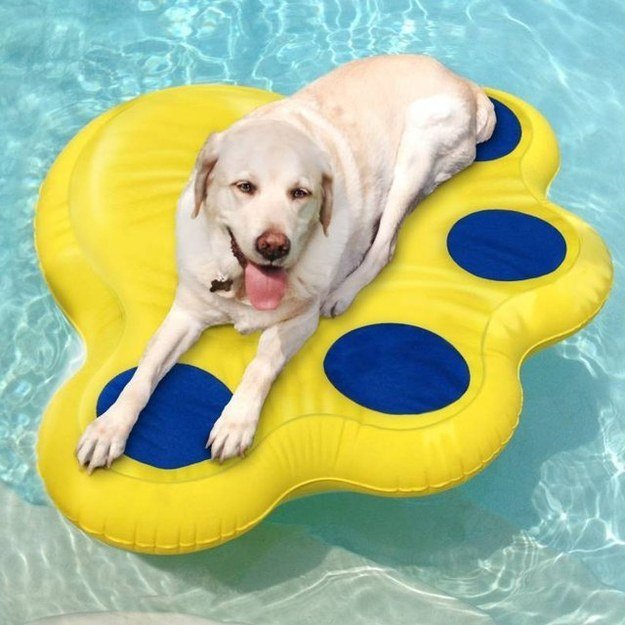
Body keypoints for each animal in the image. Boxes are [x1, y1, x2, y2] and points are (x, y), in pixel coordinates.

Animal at [77, 54, 498, 472]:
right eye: (244, 187)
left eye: (301, 193)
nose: (274, 246)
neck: (242, 289)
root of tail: (462, 81)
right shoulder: (187, 312)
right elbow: (144, 371)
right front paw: (108, 427)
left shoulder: (299, 321)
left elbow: (262, 363)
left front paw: (236, 422)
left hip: (417, 152)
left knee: (383, 247)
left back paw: (343, 292)